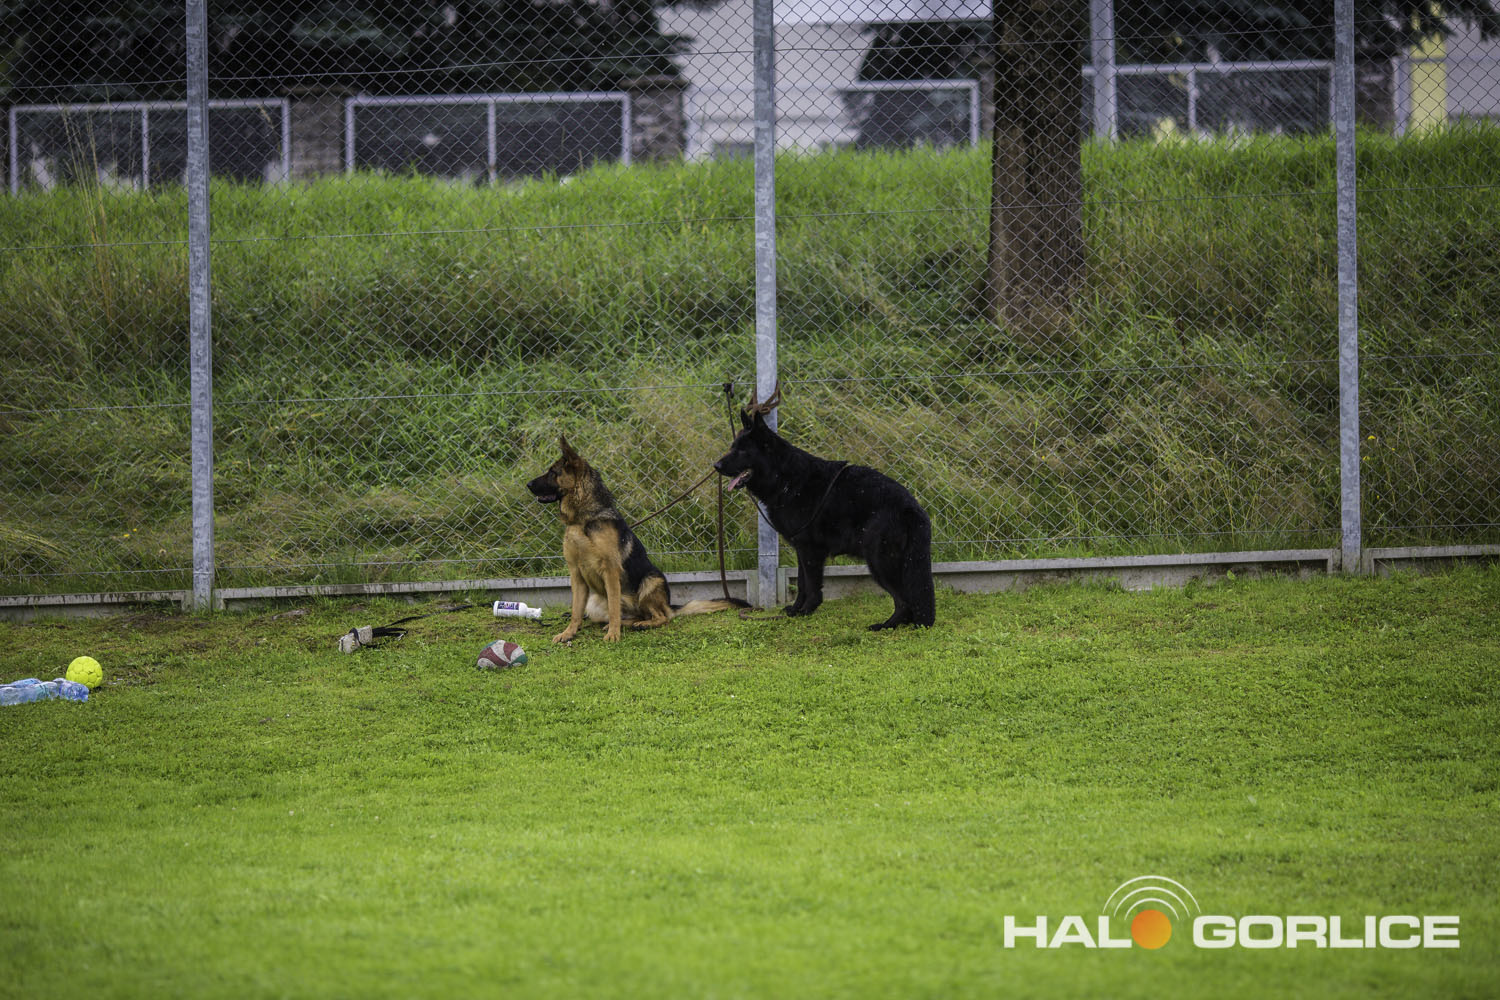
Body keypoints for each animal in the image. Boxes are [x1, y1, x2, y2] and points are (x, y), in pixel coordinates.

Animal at [527, 436, 747, 643]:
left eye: (553, 473)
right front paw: (569, 633)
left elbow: (614, 608)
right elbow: (575, 611)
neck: (583, 520)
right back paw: (626, 623)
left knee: (662, 616)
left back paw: (640, 624)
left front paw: (613, 635)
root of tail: (670, 605)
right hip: (595, 605)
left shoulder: (610, 571)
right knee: (628, 615)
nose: (527, 484)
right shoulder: (576, 574)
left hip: (651, 581)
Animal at [714, 398, 936, 630]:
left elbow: (811, 585)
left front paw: (807, 611)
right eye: (732, 448)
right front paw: (795, 610)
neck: (785, 479)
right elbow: (802, 584)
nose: (716, 466)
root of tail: (912, 507)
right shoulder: (802, 550)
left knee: (903, 600)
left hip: (880, 562)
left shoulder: (810, 551)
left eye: (741, 451)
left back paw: (886, 625)